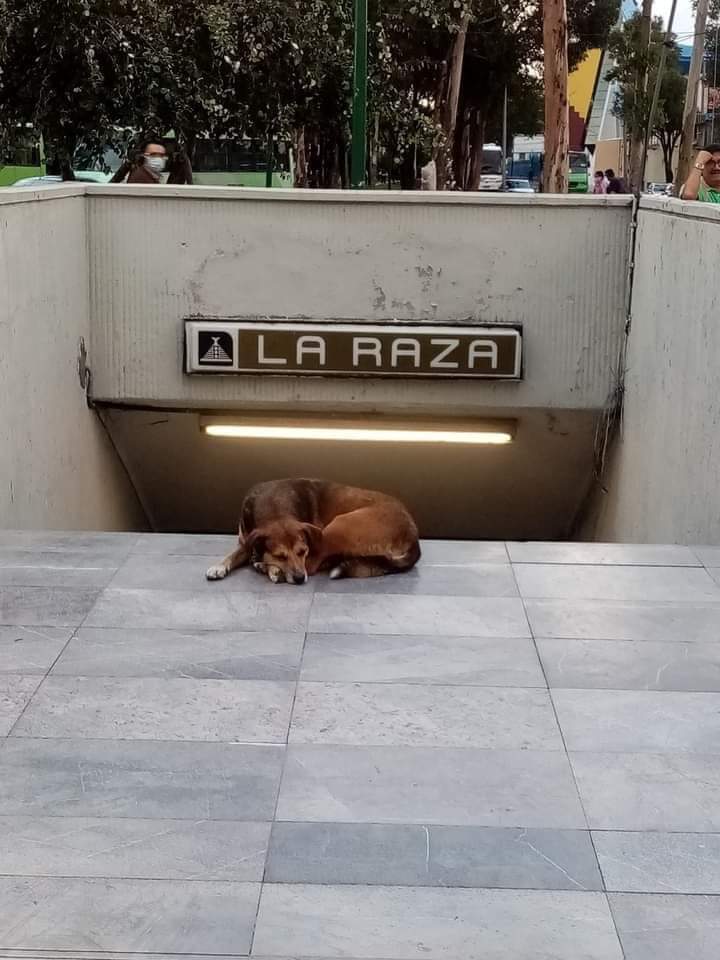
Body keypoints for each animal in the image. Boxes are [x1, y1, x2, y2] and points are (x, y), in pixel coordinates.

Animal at [205, 478, 420, 584]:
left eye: (303, 551)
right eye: (280, 555)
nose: (300, 579)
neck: (273, 505)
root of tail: (412, 534)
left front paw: (269, 566)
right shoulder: (246, 539)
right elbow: (234, 554)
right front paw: (219, 566)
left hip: (336, 527)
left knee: (313, 565)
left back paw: (266, 567)